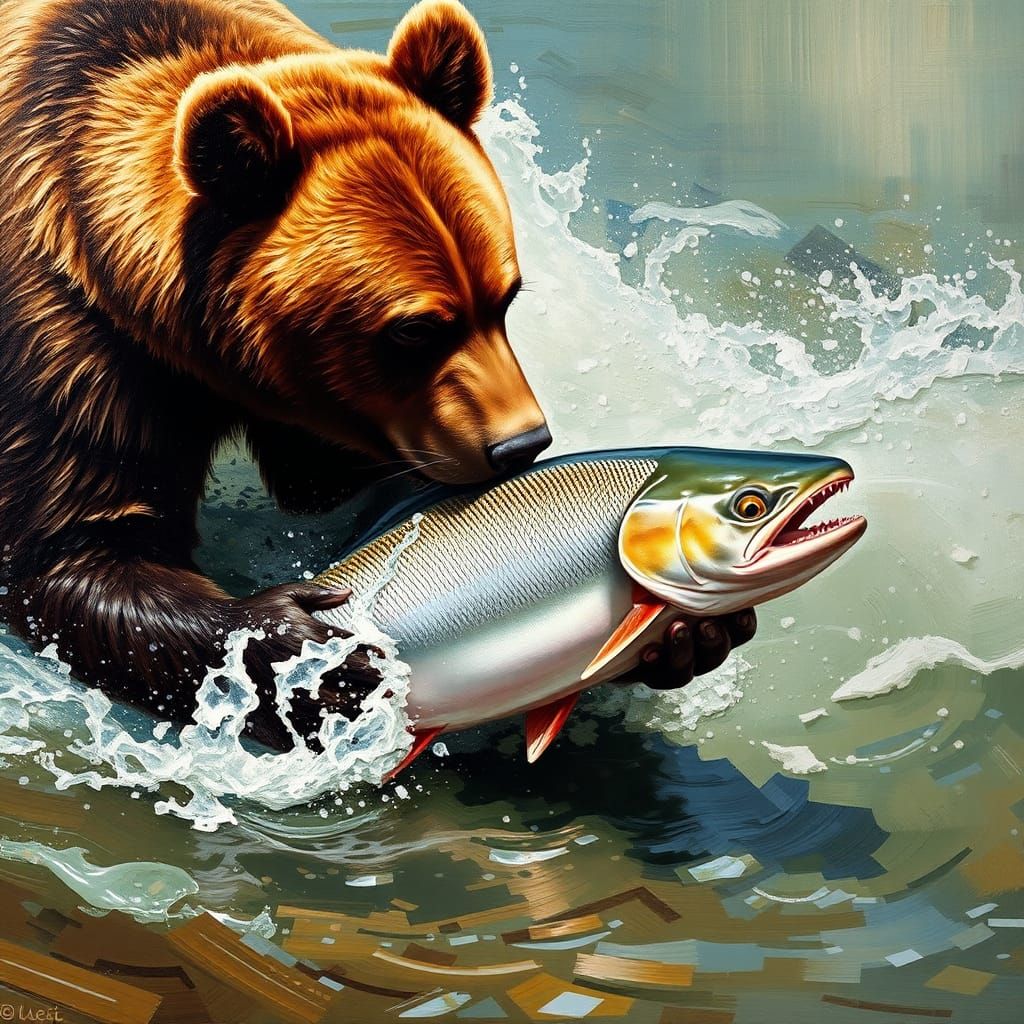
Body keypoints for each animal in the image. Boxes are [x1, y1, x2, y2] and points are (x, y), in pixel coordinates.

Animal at [0, 0, 755, 749]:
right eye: (414, 328)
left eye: (505, 297)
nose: (522, 444)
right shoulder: (71, 336)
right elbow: (80, 550)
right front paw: (302, 644)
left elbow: (348, 493)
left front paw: (686, 639)